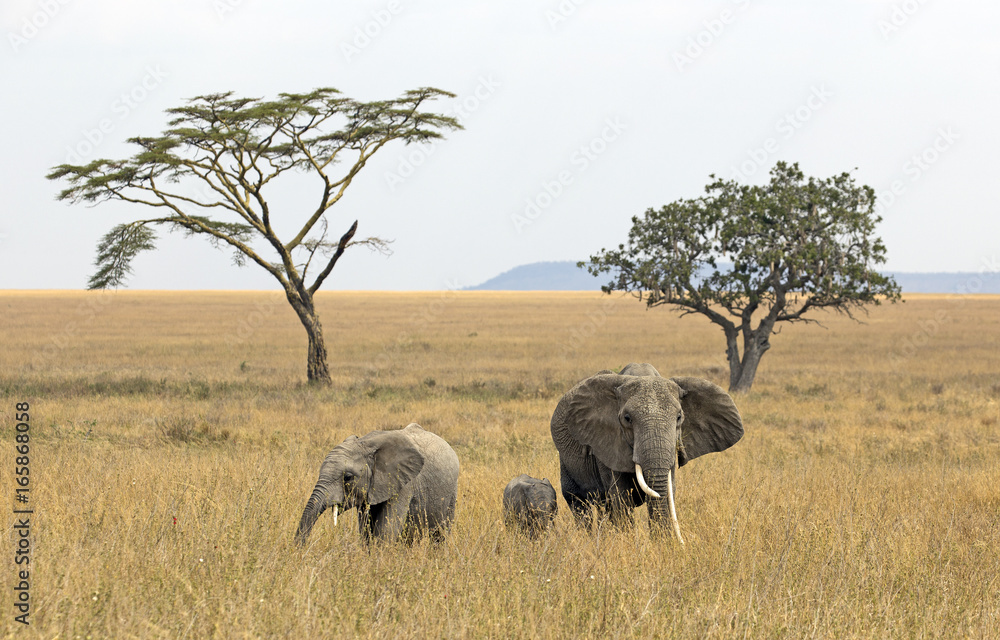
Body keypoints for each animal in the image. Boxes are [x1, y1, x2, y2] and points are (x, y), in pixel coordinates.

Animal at [292, 424, 458, 544]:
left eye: (348, 477)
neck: (366, 444)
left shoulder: (404, 484)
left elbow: (386, 531)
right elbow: (366, 530)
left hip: (451, 492)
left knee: (440, 534)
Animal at [548, 362, 744, 544]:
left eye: (679, 417)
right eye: (627, 419)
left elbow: (666, 491)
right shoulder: (607, 445)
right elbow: (622, 497)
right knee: (579, 503)